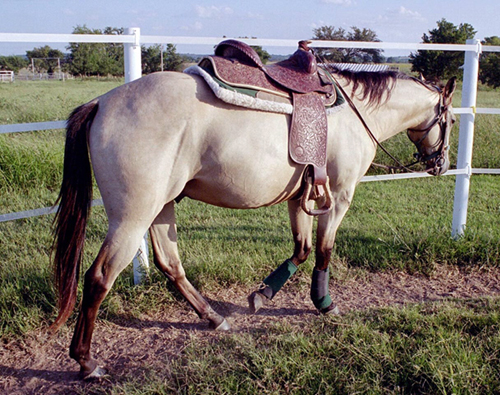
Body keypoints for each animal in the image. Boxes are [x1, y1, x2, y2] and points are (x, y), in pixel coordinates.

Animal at [49, 41, 458, 380]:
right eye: (451, 120)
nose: (441, 164)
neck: (358, 113)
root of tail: (102, 103)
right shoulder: (340, 196)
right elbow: (324, 250)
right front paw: (324, 303)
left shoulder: (300, 196)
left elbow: (301, 249)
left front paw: (263, 296)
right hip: (133, 217)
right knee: (99, 278)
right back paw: (86, 362)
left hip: (161, 207)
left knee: (170, 264)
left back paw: (213, 317)